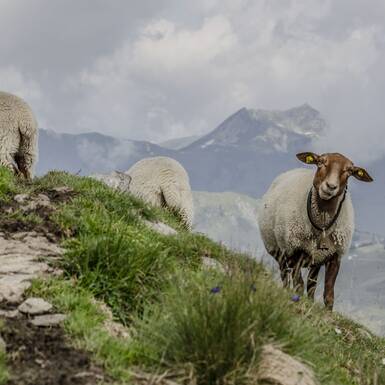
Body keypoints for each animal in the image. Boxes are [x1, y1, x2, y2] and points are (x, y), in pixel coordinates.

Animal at [258, 152, 372, 310]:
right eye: (320, 162)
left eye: (349, 171)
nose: (330, 186)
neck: (322, 226)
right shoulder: (294, 251)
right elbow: (299, 286)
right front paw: (298, 302)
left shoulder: (335, 256)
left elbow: (328, 295)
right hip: (279, 251)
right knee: (285, 277)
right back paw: (286, 292)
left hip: (315, 259)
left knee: (311, 285)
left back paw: (310, 301)